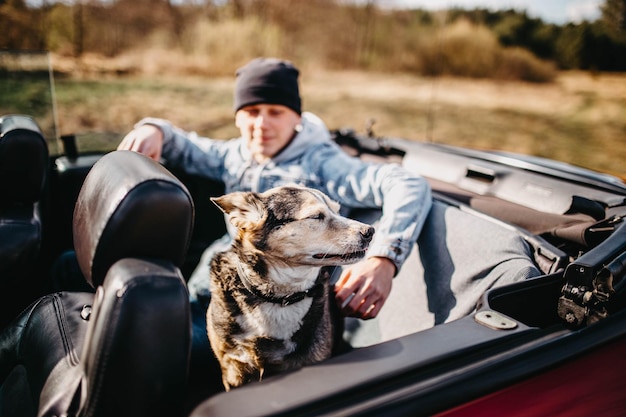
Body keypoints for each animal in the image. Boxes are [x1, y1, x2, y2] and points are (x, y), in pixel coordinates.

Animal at [205, 184, 372, 388]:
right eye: (316, 216)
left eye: (337, 211)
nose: (370, 231)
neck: (280, 296)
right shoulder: (232, 368)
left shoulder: (315, 355)